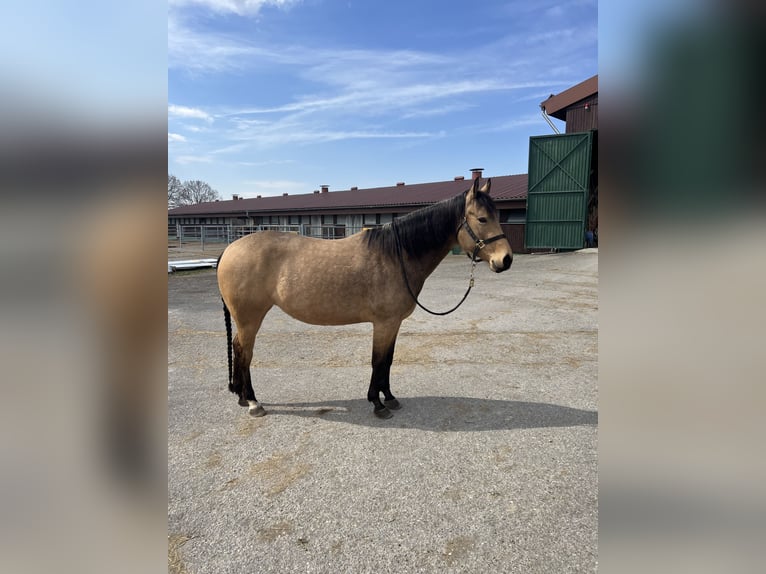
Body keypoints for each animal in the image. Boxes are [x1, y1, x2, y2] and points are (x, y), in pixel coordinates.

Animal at [216, 177, 512, 419]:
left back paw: (242, 397)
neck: (396, 254)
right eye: (482, 219)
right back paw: (253, 402)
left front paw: (390, 398)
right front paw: (378, 404)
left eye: (498, 215)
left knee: (238, 348)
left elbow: (388, 361)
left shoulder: (393, 324)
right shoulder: (383, 323)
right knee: (244, 352)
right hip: (250, 319)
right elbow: (378, 361)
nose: (505, 260)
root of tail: (229, 249)